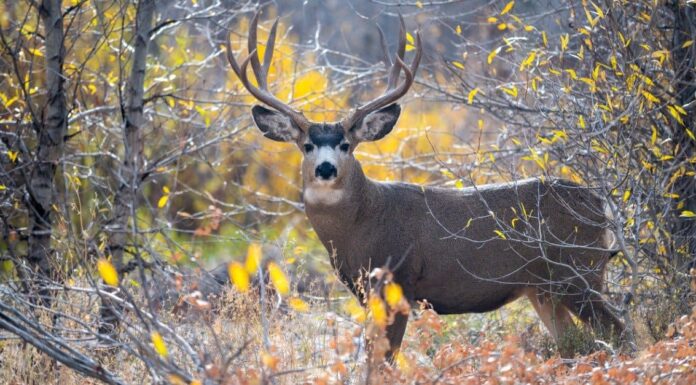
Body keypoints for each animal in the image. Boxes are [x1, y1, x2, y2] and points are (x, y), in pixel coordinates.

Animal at [227, 12, 624, 360]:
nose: (326, 169)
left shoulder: (399, 280)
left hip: (578, 272)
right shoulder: (366, 292)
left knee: (619, 330)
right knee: (573, 341)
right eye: (307, 145)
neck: (363, 224)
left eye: (346, 145)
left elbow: (383, 359)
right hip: (544, 288)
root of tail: (597, 201)